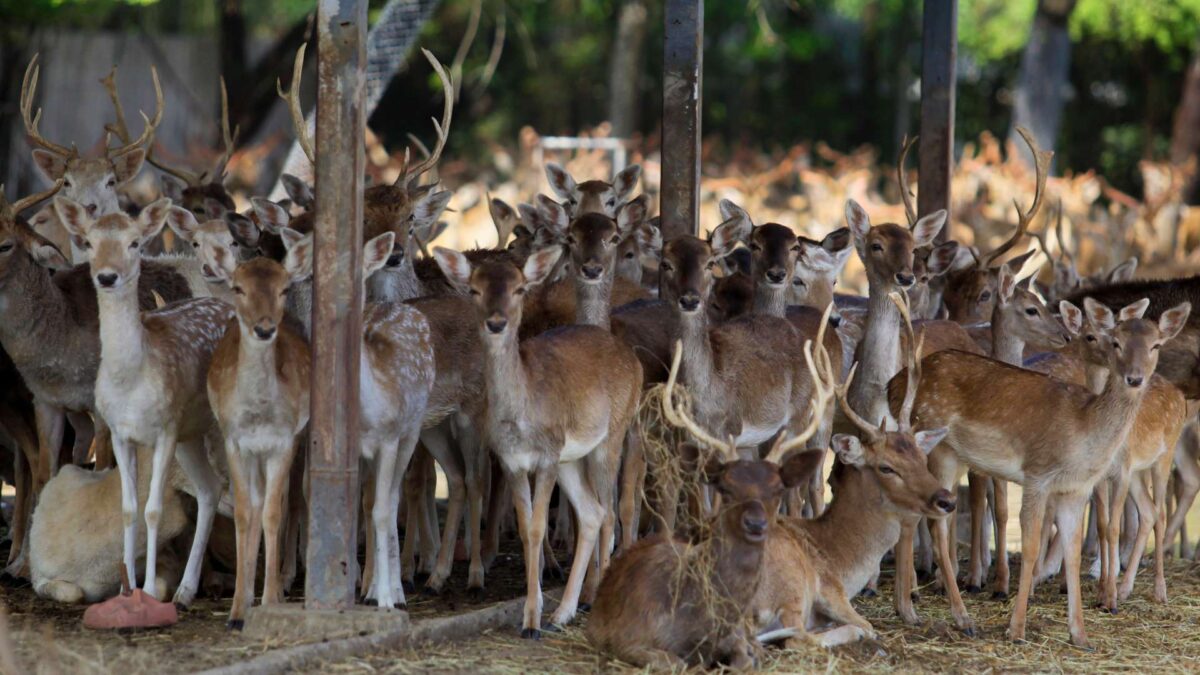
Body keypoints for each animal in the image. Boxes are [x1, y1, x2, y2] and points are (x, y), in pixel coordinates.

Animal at [55, 193, 232, 605]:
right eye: (88, 242)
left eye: (135, 242)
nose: (107, 276)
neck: (130, 381)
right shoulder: (121, 433)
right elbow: (129, 508)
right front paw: (126, 589)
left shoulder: (165, 429)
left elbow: (153, 509)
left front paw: (149, 590)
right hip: (190, 434)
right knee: (210, 488)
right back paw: (185, 590)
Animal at [201, 236, 314, 624]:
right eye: (238, 287)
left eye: (284, 289)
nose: (265, 329)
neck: (259, 415)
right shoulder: (234, 441)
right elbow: (243, 513)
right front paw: (237, 609)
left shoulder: (284, 440)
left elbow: (273, 512)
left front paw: (269, 601)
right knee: (255, 501)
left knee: (281, 500)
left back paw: (277, 585)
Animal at [434, 243, 648, 634]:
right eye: (474, 289)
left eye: (519, 289)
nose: (496, 322)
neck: (520, 419)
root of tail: (632, 358)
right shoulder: (512, 462)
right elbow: (524, 527)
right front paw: (533, 616)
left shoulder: (546, 457)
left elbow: (536, 527)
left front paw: (532, 621)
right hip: (570, 459)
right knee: (592, 513)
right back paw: (564, 611)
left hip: (610, 437)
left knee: (610, 512)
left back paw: (593, 599)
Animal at [892, 293, 1190, 648]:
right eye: (1116, 342)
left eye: (1156, 345)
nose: (1134, 378)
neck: (1084, 430)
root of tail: (893, 386)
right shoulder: (1037, 475)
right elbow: (1032, 546)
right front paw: (1016, 629)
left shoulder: (1076, 489)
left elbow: (1073, 551)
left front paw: (1080, 635)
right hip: (936, 446)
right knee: (930, 520)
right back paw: (956, 615)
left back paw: (910, 607)